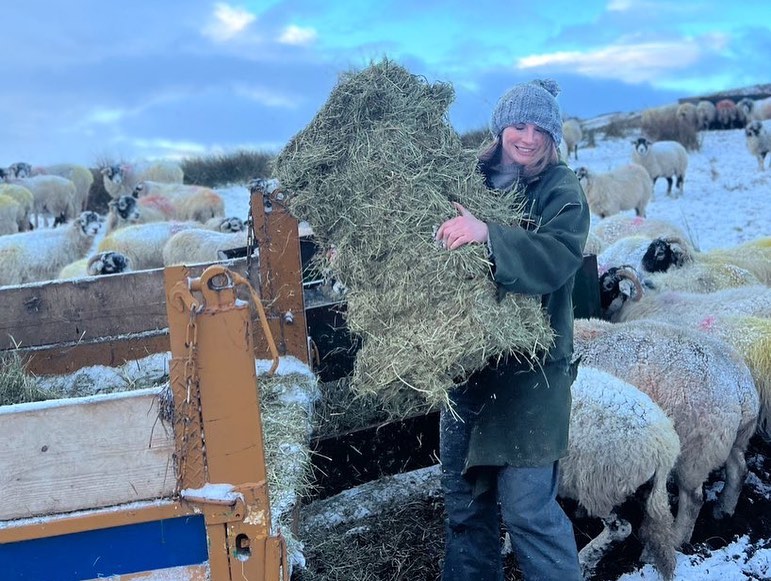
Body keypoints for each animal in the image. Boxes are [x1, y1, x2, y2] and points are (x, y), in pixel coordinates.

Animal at [572, 318, 760, 548]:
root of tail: (741, 389)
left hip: (695, 451)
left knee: (694, 498)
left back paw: (679, 538)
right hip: (733, 439)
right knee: (739, 470)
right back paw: (723, 510)